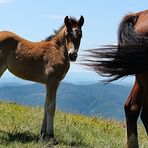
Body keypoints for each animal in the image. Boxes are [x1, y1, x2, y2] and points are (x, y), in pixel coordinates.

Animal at [0, 15, 84, 144]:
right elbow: (51, 107)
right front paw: (51, 136)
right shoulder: (52, 82)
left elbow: (45, 105)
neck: (57, 50)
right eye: (67, 35)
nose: (73, 55)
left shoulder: (51, 83)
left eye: (80, 35)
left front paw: (43, 134)